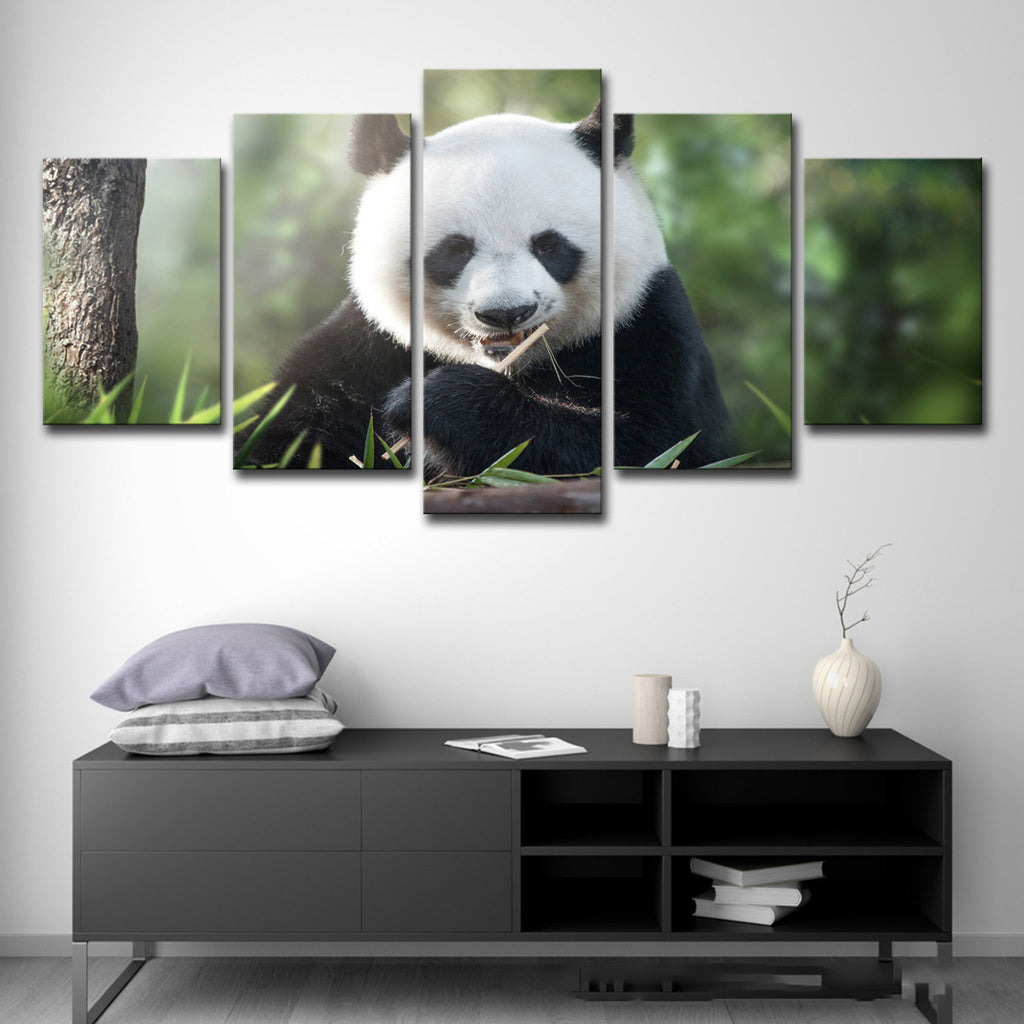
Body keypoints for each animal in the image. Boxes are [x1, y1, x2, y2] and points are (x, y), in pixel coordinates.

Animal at [235, 106, 733, 473]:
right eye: (454, 250)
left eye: (549, 245)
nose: (506, 313)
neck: (509, 365)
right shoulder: (367, 347)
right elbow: (287, 434)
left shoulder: (648, 329)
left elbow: (653, 445)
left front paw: (436, 403)